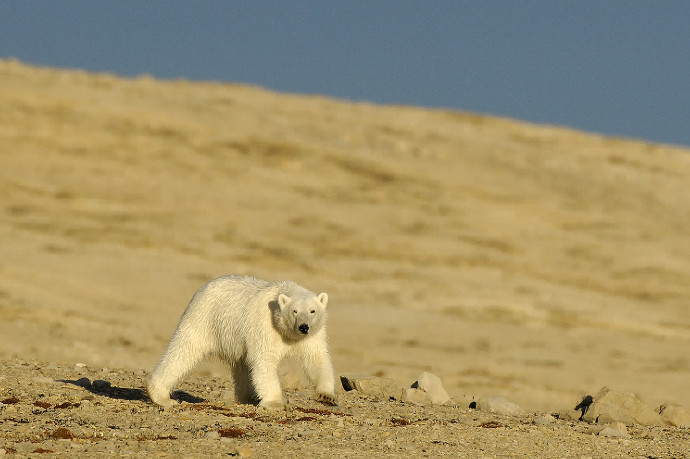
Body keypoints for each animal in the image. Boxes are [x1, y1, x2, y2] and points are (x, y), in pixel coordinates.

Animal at [146, 274, 334, 412]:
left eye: (312, 311)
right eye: (294, 311)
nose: (303, 327)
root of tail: (205, 286)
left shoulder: (313, 335)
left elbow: (316, 358)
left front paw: (326, 395)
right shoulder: (265, 327)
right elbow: (264, 361)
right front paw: (275, 403)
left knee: (243, 367)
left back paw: (247, 397)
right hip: (204, 318)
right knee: (183, 351)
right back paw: (162, 397)